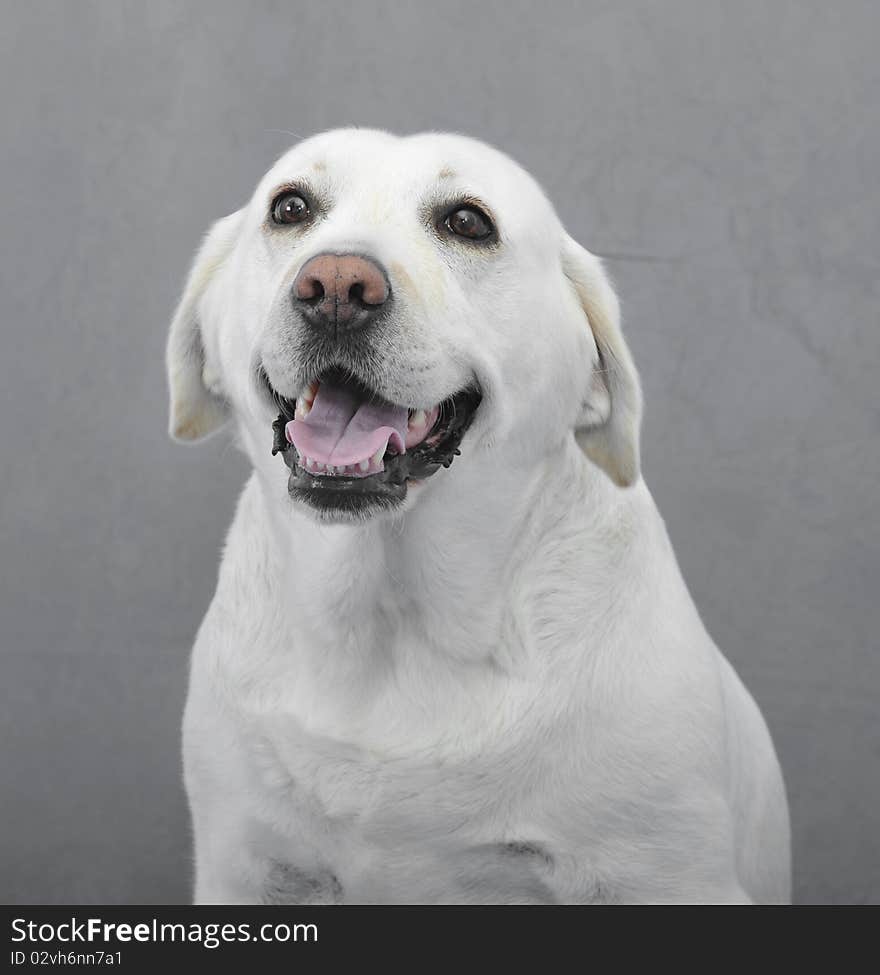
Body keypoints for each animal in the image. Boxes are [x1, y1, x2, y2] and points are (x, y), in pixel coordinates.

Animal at [165, 130, 792, 908]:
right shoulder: (246, 866)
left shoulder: (669, 875)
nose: (336, 286)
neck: (395, 625)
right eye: (290, 208)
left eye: (467, 222)